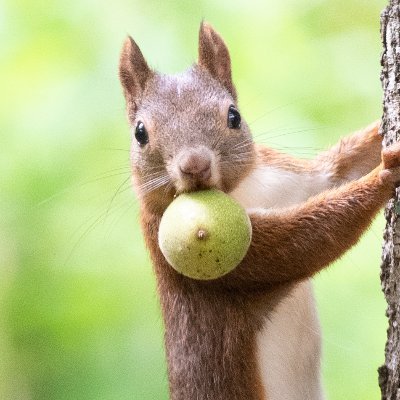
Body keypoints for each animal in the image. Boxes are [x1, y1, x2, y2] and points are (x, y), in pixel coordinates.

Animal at [120, 21, 400, 400]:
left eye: (234, 116)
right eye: (140, 133)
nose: (194, 165)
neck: (241, 192)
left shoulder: (297, 182)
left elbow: (339, 170)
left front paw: (379, 132)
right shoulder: (213, 258)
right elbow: (300, 243)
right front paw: (386, 173)